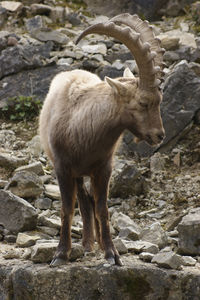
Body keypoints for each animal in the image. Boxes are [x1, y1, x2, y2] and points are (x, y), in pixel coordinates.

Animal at [39, 14, 166, 268]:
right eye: (143, 102)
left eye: (160, 100)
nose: (159, 135)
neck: (83, 127)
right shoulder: (63, 168)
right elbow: (67, 208)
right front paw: (60, 254)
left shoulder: (104, 168)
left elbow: (103, 208)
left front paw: (111, 253)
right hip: (77, 174)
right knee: (82, 200)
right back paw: (86, 244)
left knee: (90, 200)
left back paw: (94, 242)